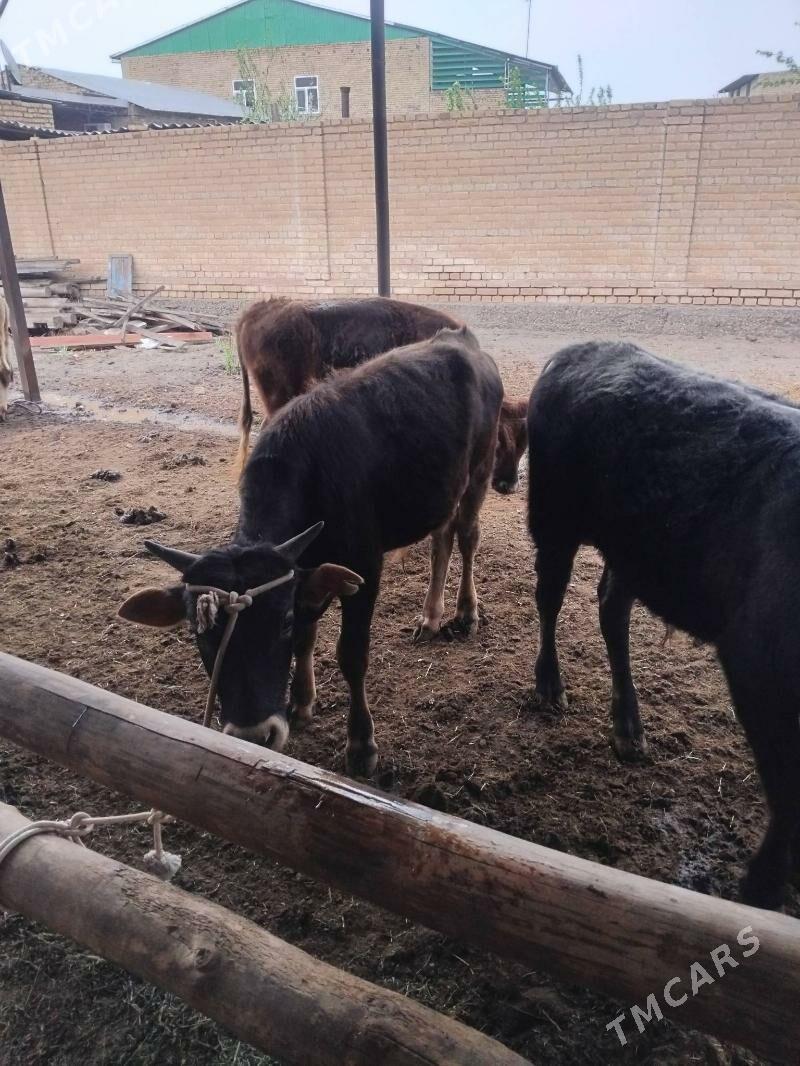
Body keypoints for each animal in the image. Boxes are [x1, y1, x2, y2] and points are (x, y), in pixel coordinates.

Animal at [120, 326, 503, 778]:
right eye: (200, 631)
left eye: (280, 622)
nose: (254, 735)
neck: (309, 477)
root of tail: (461, 338)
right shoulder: (305, 574)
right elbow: (309, 635)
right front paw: (302, 702)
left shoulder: (364, 568)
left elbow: (350, 653)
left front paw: (361, 744)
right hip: (442, 491)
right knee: (441, 540)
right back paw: (429, 616)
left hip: (479, 472)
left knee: (467, 536)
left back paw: (466, 612)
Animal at [527, 340, 800, 909]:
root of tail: (577, 351)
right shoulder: (755, 665)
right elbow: (788, 793)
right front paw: (762, 885)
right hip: (555, 523)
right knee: (549, 598)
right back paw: (551, 685)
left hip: (632, 552)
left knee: (611, 608)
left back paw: (628, 725)